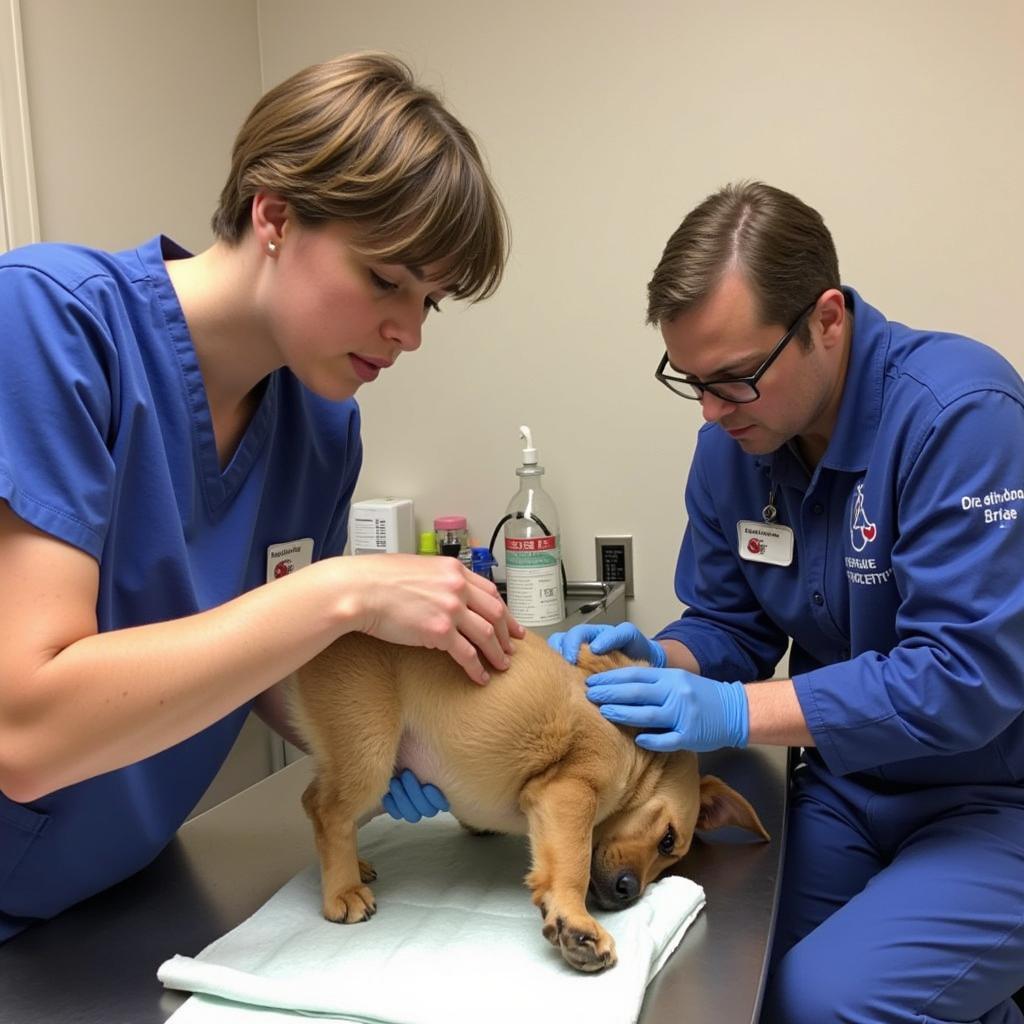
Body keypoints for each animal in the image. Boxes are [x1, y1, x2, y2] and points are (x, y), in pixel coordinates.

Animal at [290, 626, 770, 970]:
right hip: (370, 750)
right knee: (324, 808)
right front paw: (574, 919)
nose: (628, 893)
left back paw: (352, 867)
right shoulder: (569, 792)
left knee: (319, 799)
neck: (640, 754)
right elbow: (572, 864)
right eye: (668, 840)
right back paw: (342, 889)